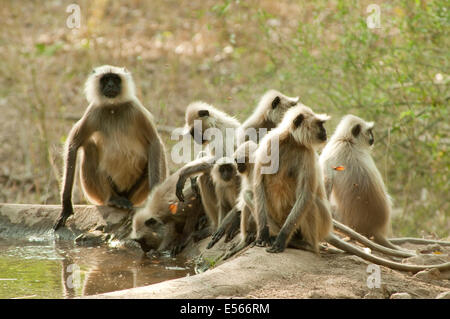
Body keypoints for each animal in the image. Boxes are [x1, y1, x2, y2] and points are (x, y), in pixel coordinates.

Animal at [54, 65, 167, 230]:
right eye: (106, 79)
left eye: (115, 79)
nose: (111, 85)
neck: (114, 107)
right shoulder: (93, 111)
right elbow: (73, 145)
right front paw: (66, 207)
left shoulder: (136, 109)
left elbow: (154, 143)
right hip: (96, 194)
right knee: (89, 146)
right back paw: (113, 199)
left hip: (134, 195)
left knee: (160, 151)